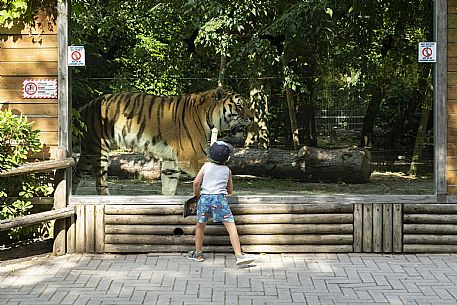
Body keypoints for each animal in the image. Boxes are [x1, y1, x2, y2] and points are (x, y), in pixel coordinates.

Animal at [72, 86, 249, 195]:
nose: (251, 118)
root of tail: (83, 107)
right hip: (98, 151)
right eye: (239, 106)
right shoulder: (193, 156)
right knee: (100, 184)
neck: (208, 115)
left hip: (88, 151)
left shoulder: (171, 160)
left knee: (75, 173)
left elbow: (169, 187)